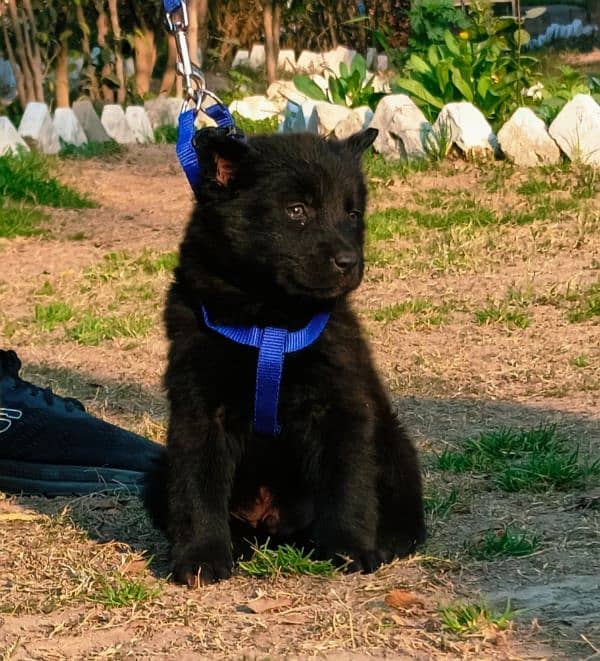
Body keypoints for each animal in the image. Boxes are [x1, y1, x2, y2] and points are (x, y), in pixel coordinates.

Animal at [145, 126, 424, 584]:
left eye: (352, 214)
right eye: (297, 210)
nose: (349, 261)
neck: (270, 323)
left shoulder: (339, 405)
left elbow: (347, 482)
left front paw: (349, 547)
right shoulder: (198, 409)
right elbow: (197, 487)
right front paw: (201, 558)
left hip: (393, 442)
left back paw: (387, 541)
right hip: (157, 469)